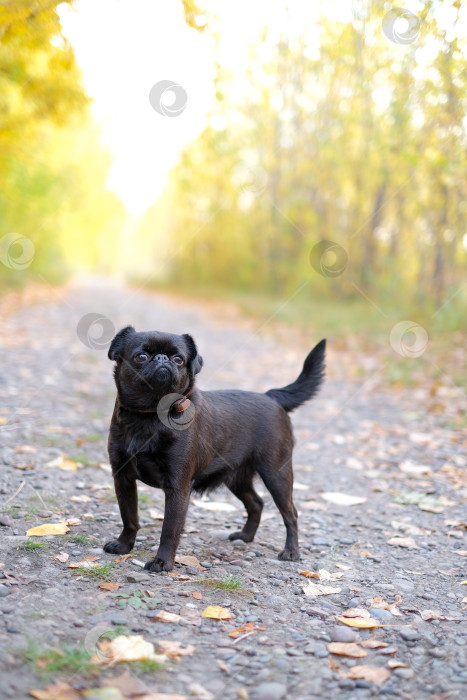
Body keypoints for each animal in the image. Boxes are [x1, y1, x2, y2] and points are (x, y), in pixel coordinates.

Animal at [104, 326, 328, 572]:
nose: (162, 359)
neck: (151, 414)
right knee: (256, 503)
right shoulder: (123, 478)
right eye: (141, 356)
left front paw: (162, 562)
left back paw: (291, 551)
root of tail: (271, 396)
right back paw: (246, 536)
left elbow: (169, 530)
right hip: (237, 479)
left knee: (290, 513)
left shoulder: (178, 488)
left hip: (277, 475)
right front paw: (124, 545)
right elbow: (129, 517)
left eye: (179, 359)